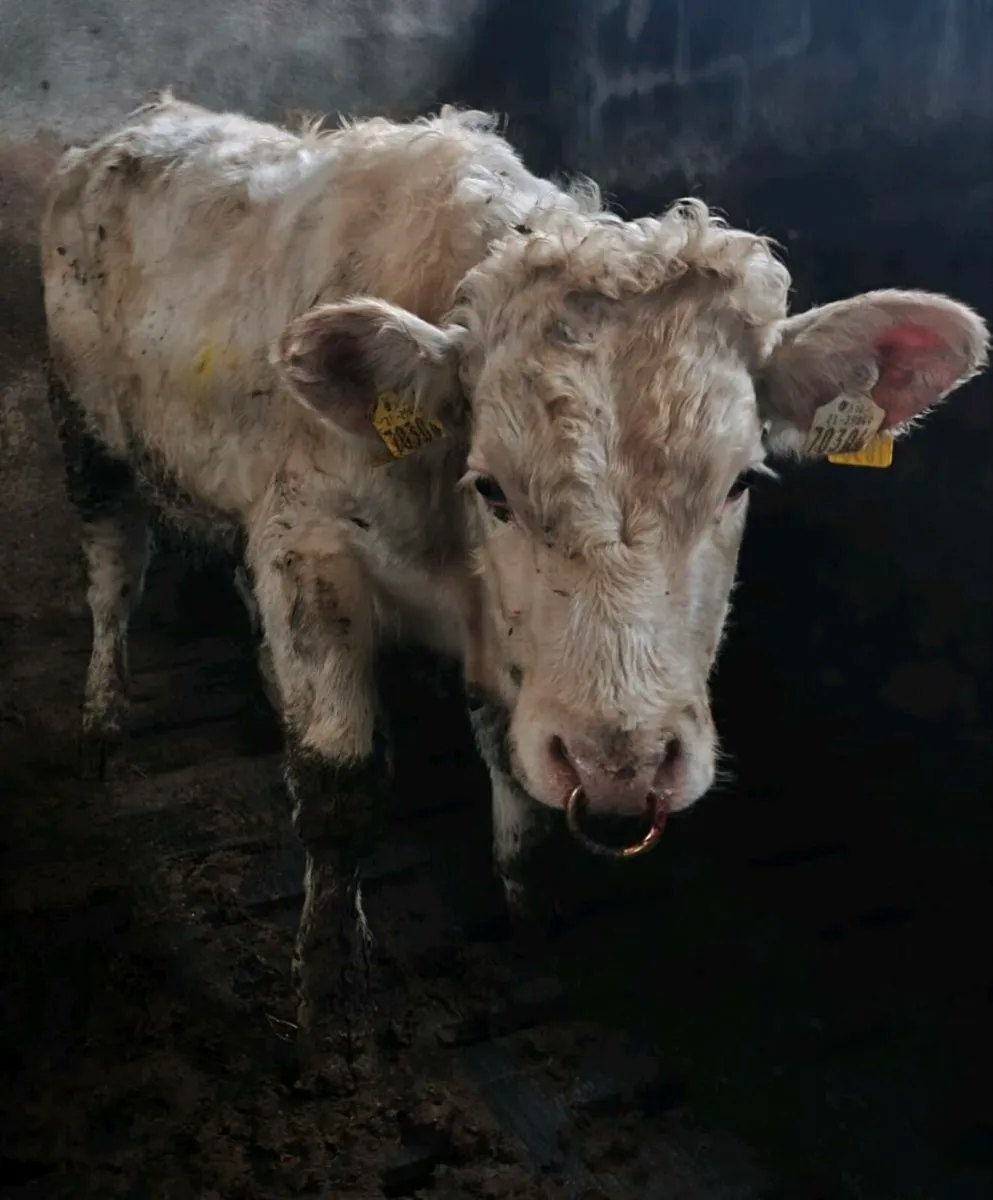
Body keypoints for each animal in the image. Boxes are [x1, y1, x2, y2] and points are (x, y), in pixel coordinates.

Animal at [41, 94, 988, 1071]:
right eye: (492, 486)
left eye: (739, 482)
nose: (623, 765)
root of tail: (148, 118)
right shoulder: (307, 545)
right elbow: (340, 785)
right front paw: (330, 994)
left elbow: (512, 765)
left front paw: (531, 913)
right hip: (87, 432)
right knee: (113, 575)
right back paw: (103, 724)